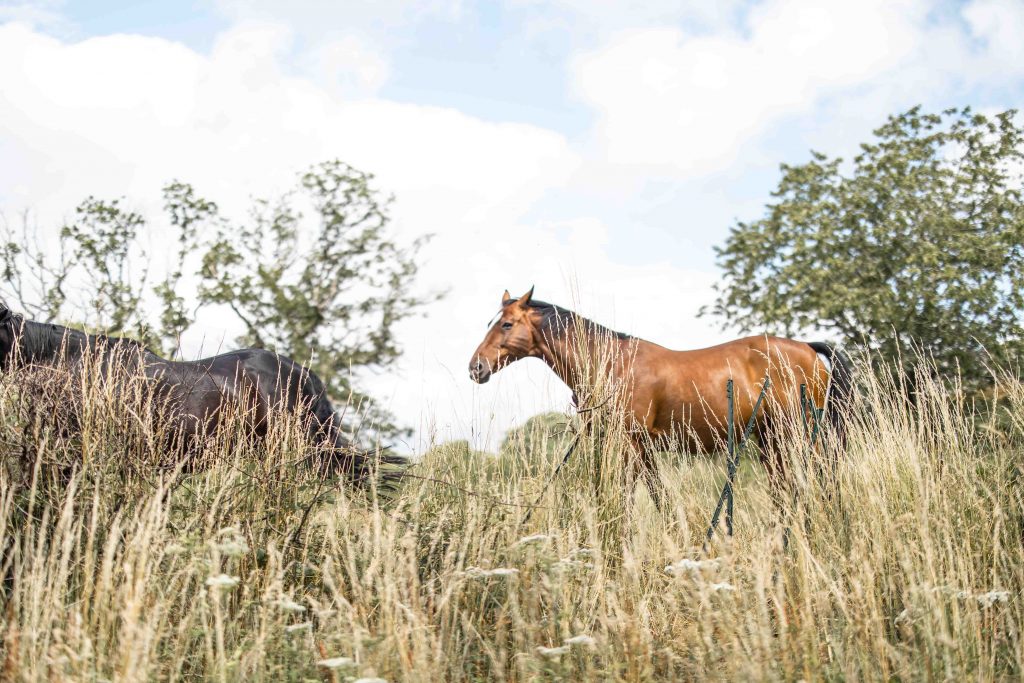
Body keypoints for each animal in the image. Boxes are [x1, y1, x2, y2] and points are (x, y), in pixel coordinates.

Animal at [471, 286, 856, 501]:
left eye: (506, 324)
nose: (476, 367)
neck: (613, 362)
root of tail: (807, 348)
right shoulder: (641, 449)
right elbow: (660, 499)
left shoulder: (629, 445)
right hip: (771, 441)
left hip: (800, 437)